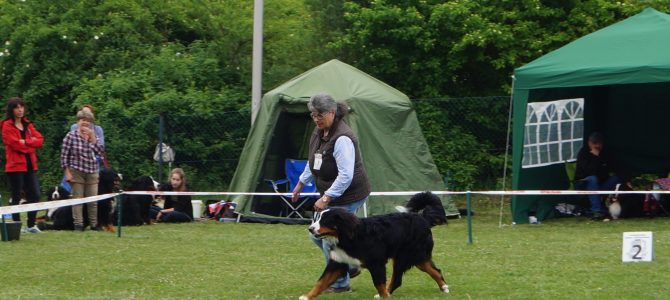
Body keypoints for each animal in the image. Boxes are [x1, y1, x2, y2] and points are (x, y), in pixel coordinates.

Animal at [300, 192, 448, 300]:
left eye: (325, 221)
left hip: (407, 256)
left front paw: (384, 296)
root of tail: (423, 218)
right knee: (435, 271)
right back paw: (444, 288)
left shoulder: (376, 263)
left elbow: (379, 283)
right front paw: (307, 297)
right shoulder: (337, 262)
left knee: (398, 278)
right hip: (417, 257)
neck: (347, 237)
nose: (310, 229)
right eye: (317, 218)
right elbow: (321, 282)